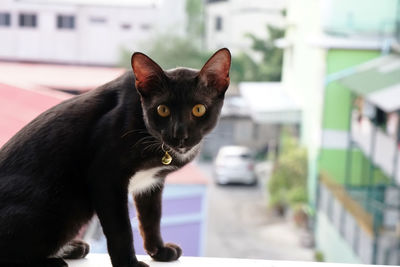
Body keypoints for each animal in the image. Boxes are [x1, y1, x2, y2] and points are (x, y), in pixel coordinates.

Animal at [0, 48, 231, 267]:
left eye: (198, 109)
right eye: (162, 110)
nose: (179, 135)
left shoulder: (152, 182)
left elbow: (151, 217)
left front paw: (159, 251)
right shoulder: (106, 177)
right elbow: (121, 229)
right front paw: (128, 263)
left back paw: (69, 248)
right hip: (62, 207)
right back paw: (53, 259)